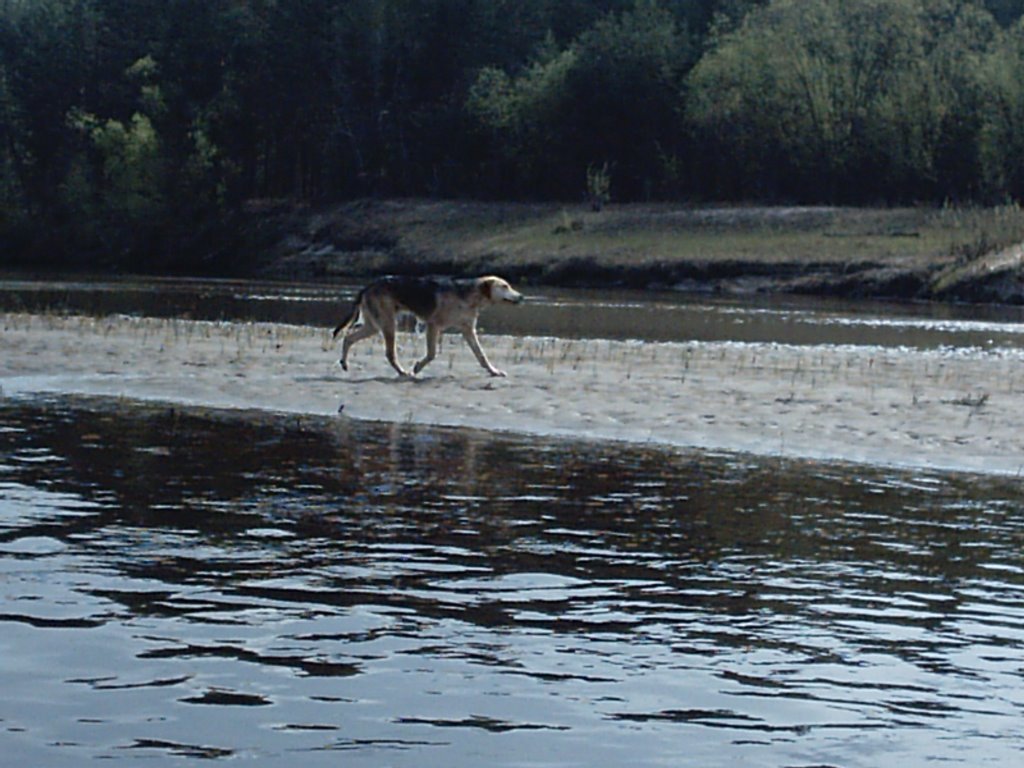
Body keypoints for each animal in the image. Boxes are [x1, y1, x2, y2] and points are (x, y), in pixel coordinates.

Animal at [335, 276, 524, 378]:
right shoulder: (433, 325)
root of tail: (368, 286)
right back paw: (403, 373)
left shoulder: (468, 330)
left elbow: (481, 356)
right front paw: (418, 367)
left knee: (348, 338)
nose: (521, 296)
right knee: (390, 354)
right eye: (505, 286)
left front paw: (494, 372)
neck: (470, 295)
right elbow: (432, 354)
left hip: (374, 326)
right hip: (388, 324)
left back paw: (344, 363)